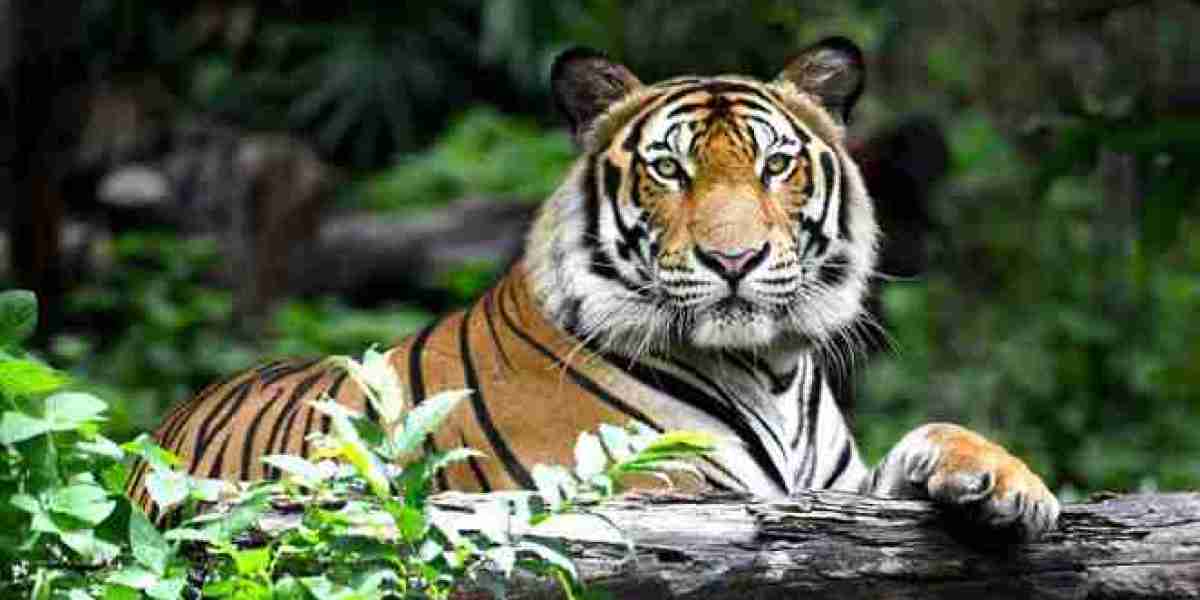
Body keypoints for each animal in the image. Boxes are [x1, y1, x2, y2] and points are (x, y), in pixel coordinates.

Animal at [128, 37, 1059, 539]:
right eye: (669, 169)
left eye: (774, 165)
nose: (735, 260)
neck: (770, 370)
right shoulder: (644, 491)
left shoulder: (833, 492)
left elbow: (933, 438)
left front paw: (1010, 485)